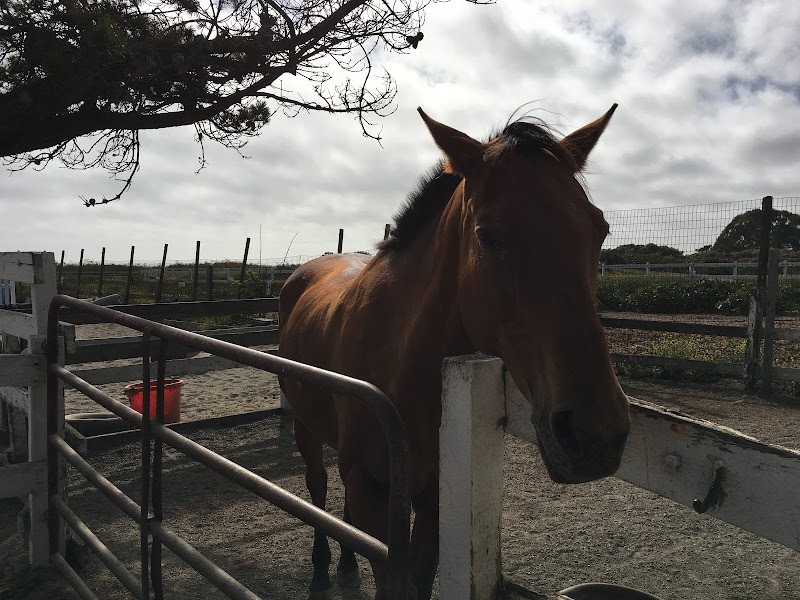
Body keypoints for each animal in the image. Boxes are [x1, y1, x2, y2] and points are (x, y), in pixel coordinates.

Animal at [278, 104, 631, 600]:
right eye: (487, 236)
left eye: (599, 230)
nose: (595, 434)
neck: (402, 364)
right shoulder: (373, 494)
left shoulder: (432, 504)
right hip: (304, 426)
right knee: (318, 489)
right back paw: (321, 569)